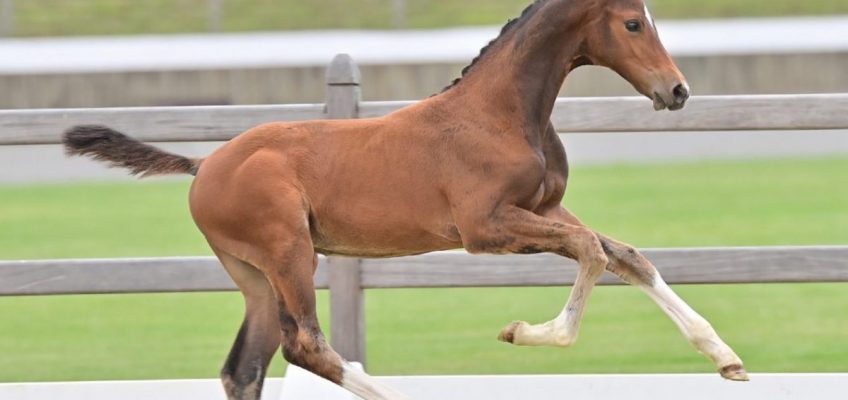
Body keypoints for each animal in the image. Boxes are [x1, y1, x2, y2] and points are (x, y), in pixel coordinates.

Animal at [64, 0, 744, 400]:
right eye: (632, 23)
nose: (677, 90)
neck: (500, 114)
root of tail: (204, 165)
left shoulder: (542, 211)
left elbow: (625, 255)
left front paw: (726, 358)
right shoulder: (486, 228)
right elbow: (591, 253)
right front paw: (523, 331)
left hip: (254, 273)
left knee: (245, 367)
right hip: (290, 253)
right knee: (304, 344)